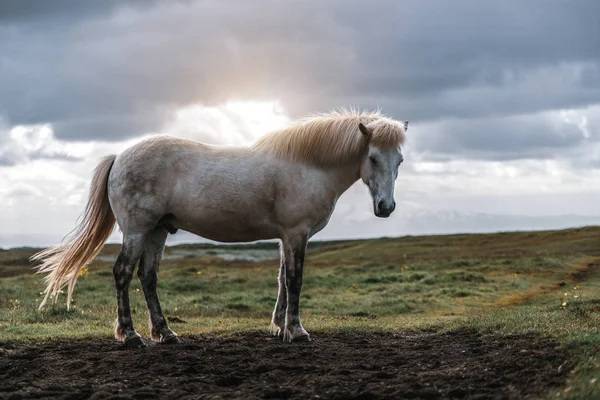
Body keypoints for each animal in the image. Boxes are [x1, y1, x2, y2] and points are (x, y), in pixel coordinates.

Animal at [31, 108, 408, 346]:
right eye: (373, 158)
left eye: (400, 160)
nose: (386, 208)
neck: (308, 165)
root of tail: (120, 157)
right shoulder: (296, 234)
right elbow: (294, 280)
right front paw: (296, 331)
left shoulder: (286, 237)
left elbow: (282, 280)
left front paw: (278, 327)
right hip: (137, 231)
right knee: (123, 273)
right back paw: (131, 335)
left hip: (156, 232)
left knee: (147, 277)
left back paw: (165, 333)